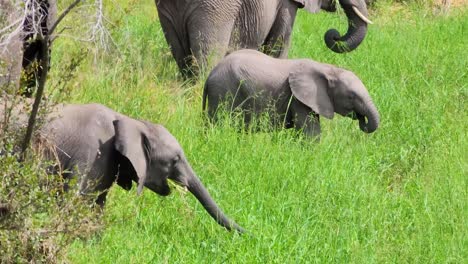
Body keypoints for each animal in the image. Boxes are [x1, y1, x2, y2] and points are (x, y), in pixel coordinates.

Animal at [1, 101, 245, 233]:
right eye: (175, 160)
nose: (248, 233)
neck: (129, 121)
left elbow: (98, 205)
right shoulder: (89, 155)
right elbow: (74, 200)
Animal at [203, 49, 378, 138]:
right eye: (351, 96)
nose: (361, 119)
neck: (328, 68)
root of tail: (210, 75)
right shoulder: (298, 99)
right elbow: (310, 132)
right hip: (223, 91)